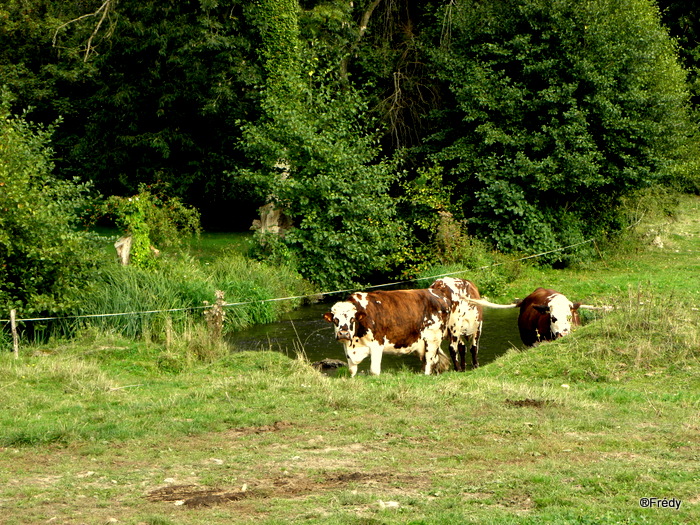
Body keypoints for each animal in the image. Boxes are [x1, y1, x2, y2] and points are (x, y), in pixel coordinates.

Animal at [322, 286, 452, 376]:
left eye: (352, 319)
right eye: (335, 320)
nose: (343, 333)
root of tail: (439, 295)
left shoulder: (377, 344)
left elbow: (374, 370)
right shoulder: (348, 348)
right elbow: (352, 370)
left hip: (432, 339)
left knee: (429, 362)